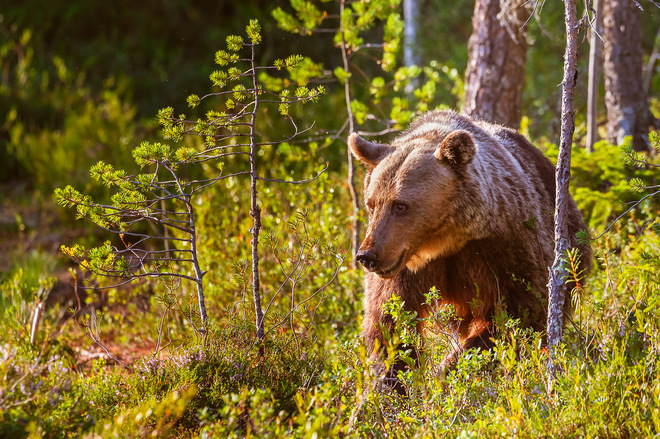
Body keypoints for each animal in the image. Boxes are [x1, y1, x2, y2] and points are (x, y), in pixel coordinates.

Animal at [348, 110, 592, 388]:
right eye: (371, 203)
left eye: (400, 205)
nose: (367, 256)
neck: (443, 240)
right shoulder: (406, 267)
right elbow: (390, 322)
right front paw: (393, 381)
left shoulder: (503, 247)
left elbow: (516, 312)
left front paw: (447, 371)